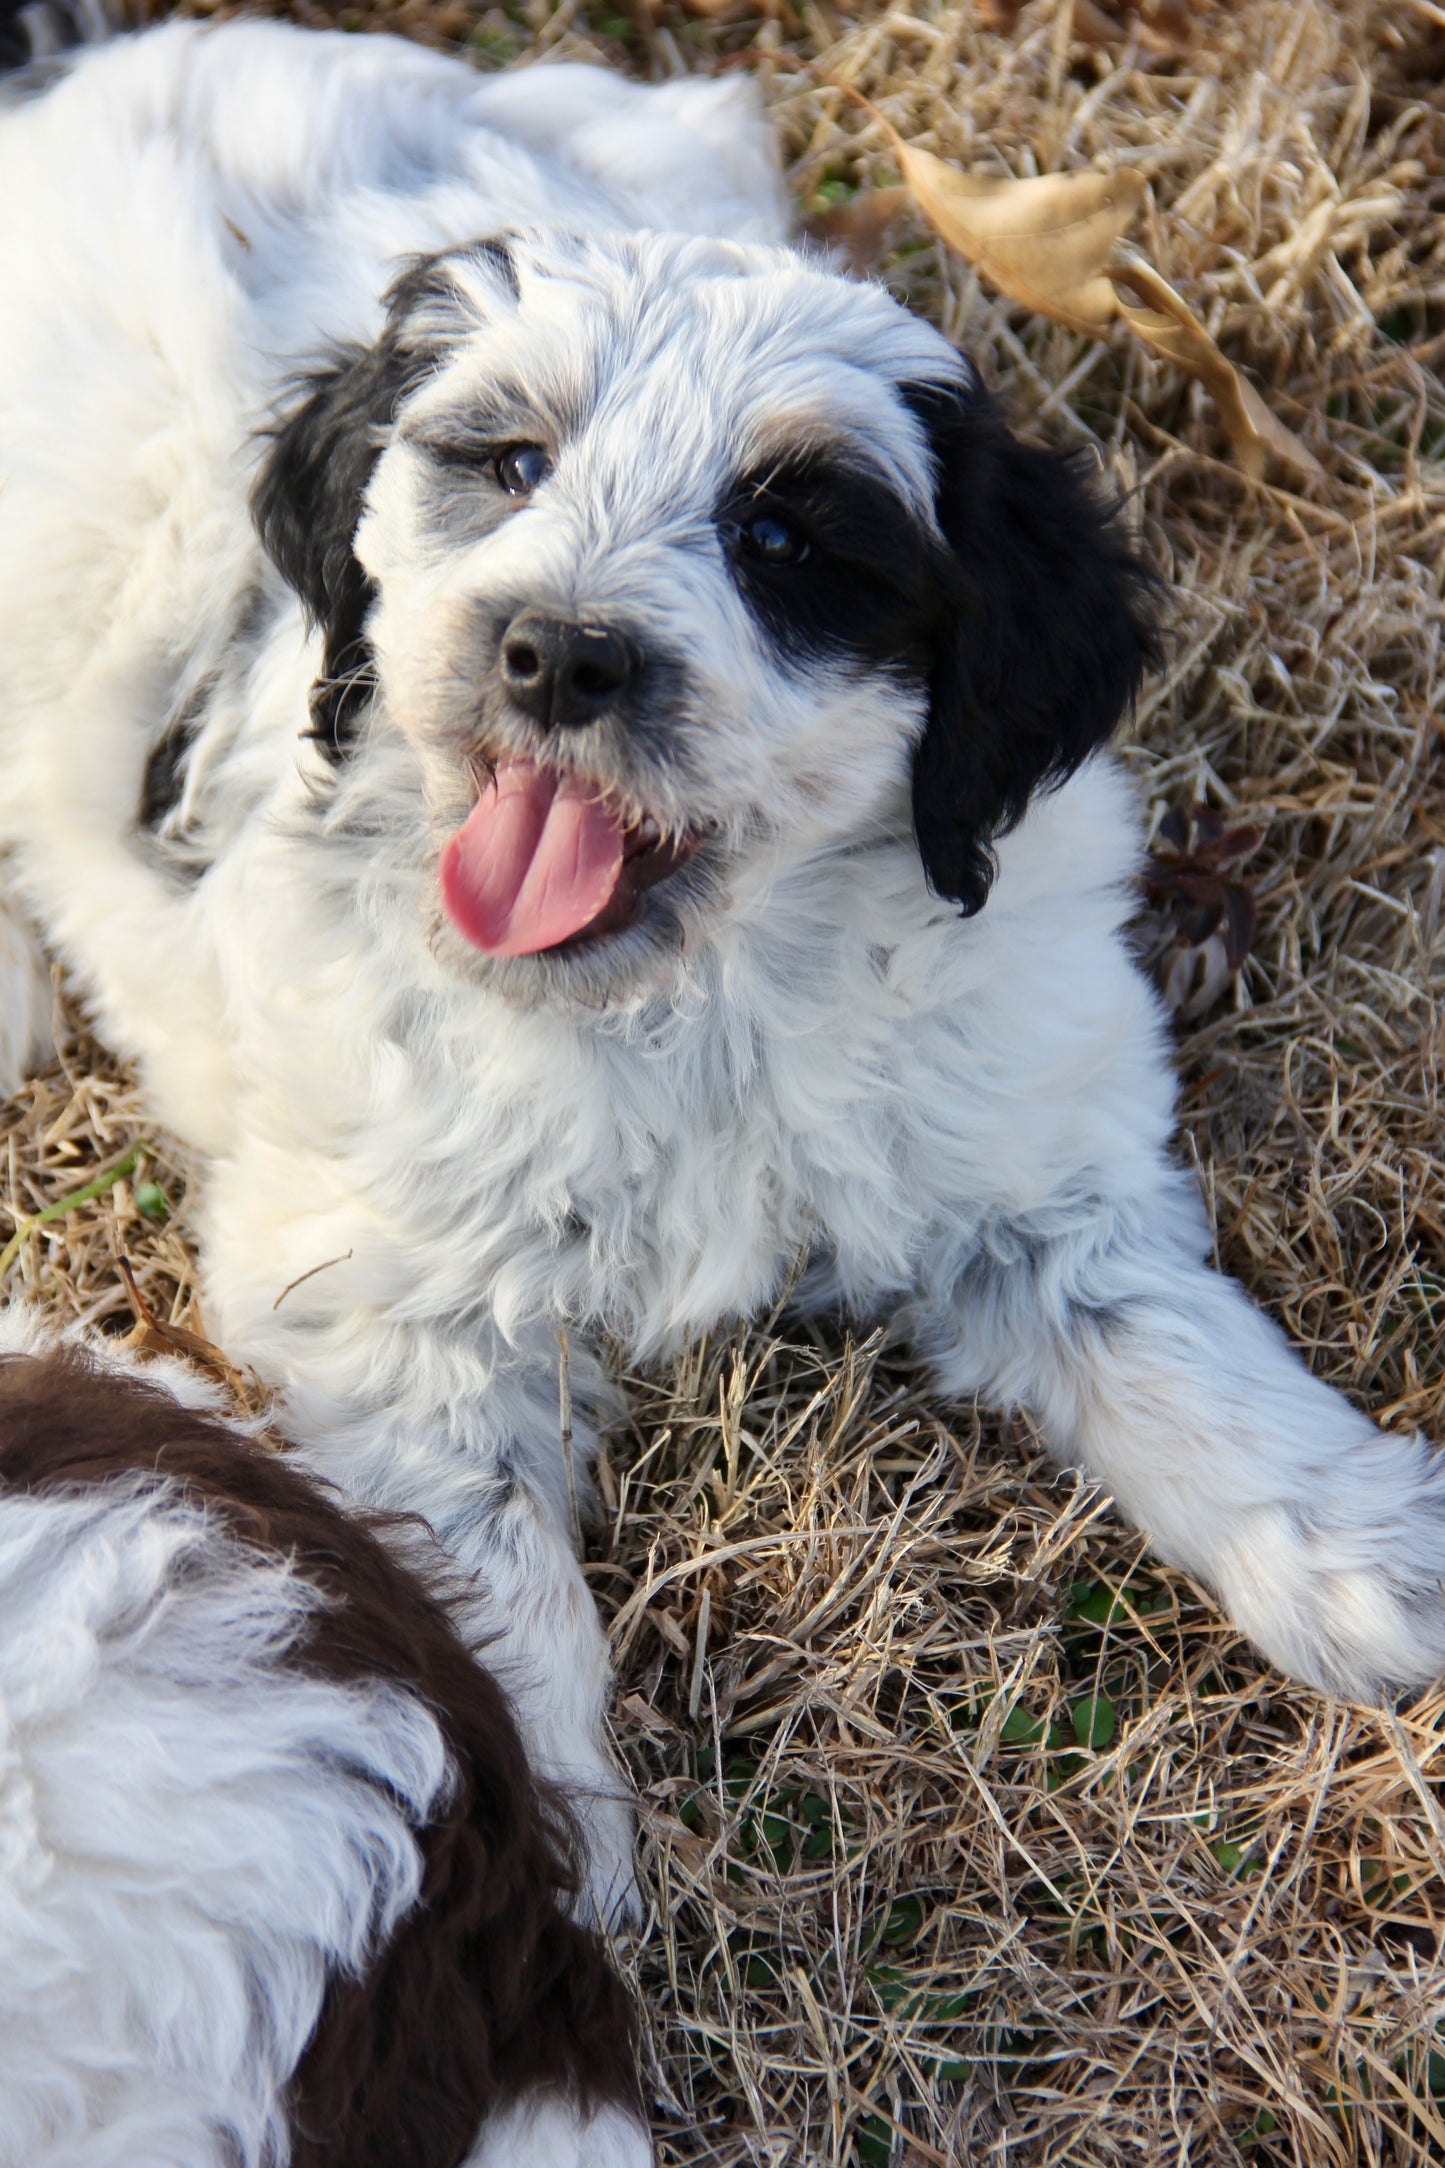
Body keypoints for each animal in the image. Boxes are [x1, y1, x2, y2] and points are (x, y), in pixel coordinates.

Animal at [2, 4, 1445, 2011]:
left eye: (785, 537)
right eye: (505, 464)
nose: (556, 653)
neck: (693, 994)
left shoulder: (1028, 1153)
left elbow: (1167, 1344)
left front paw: (1367, 1555)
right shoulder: (391, 1305)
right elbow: (486, 1576)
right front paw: (534, 1881)